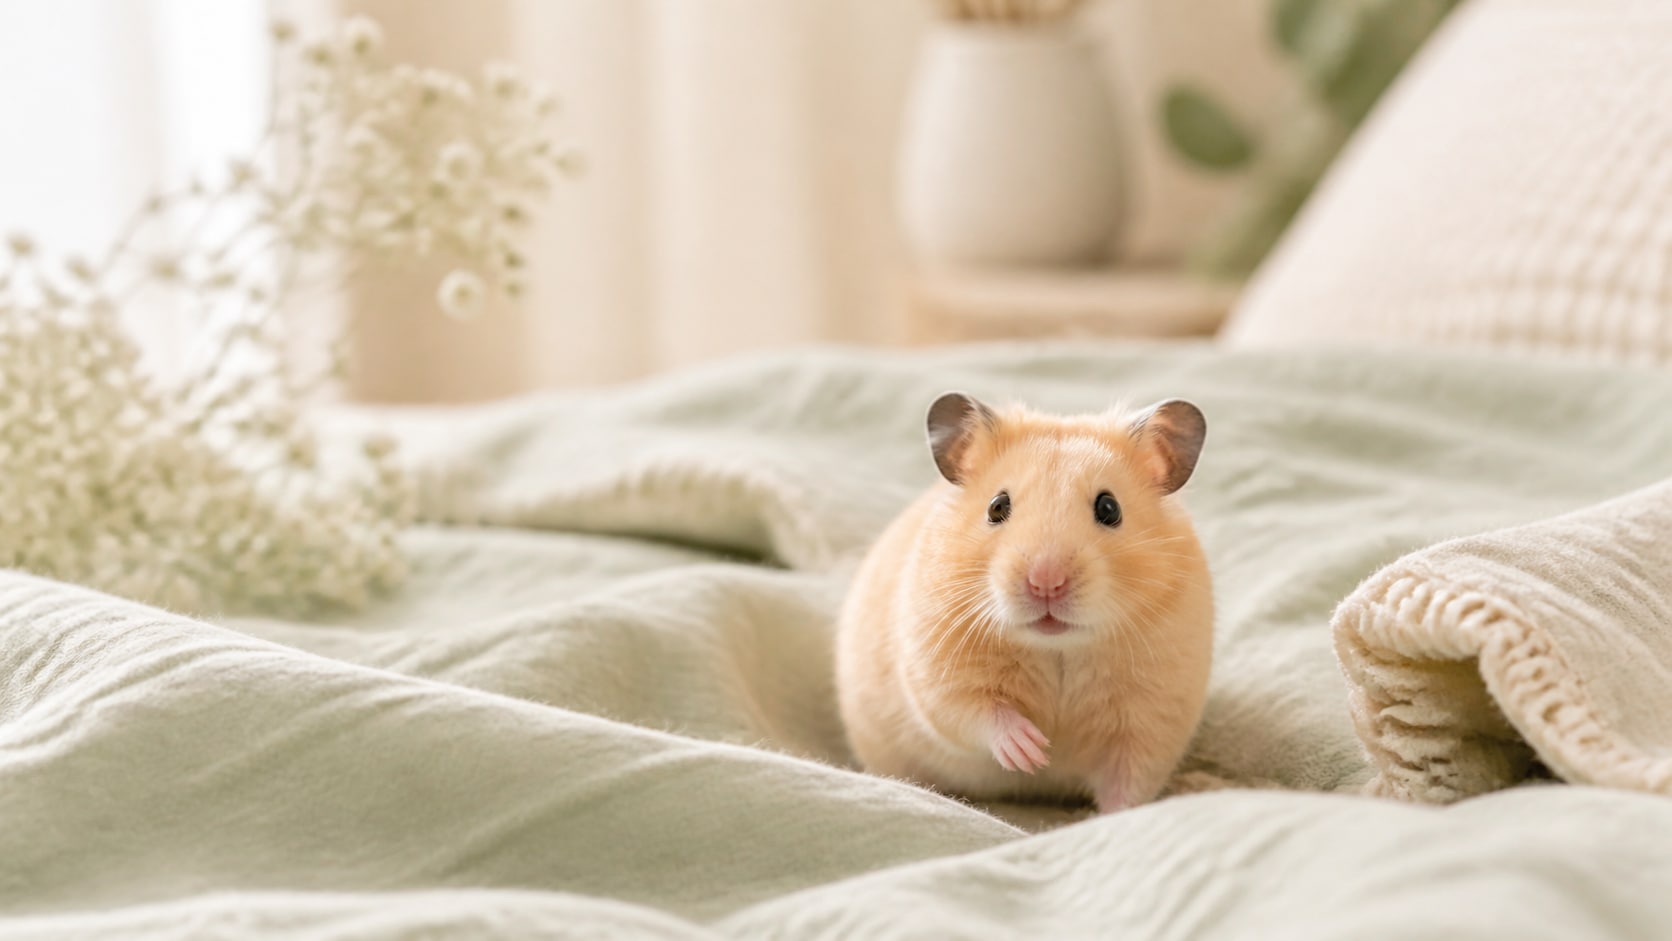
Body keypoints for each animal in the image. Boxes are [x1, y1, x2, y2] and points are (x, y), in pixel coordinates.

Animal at [835, 392, 1214, 814]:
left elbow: (1129, 784)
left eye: (1109, 509)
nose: (1045, 582)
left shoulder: (1152, 718)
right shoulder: (939, 673)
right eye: (997, 506)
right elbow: (976, 712)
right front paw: (1032, 753)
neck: (1059, 647)